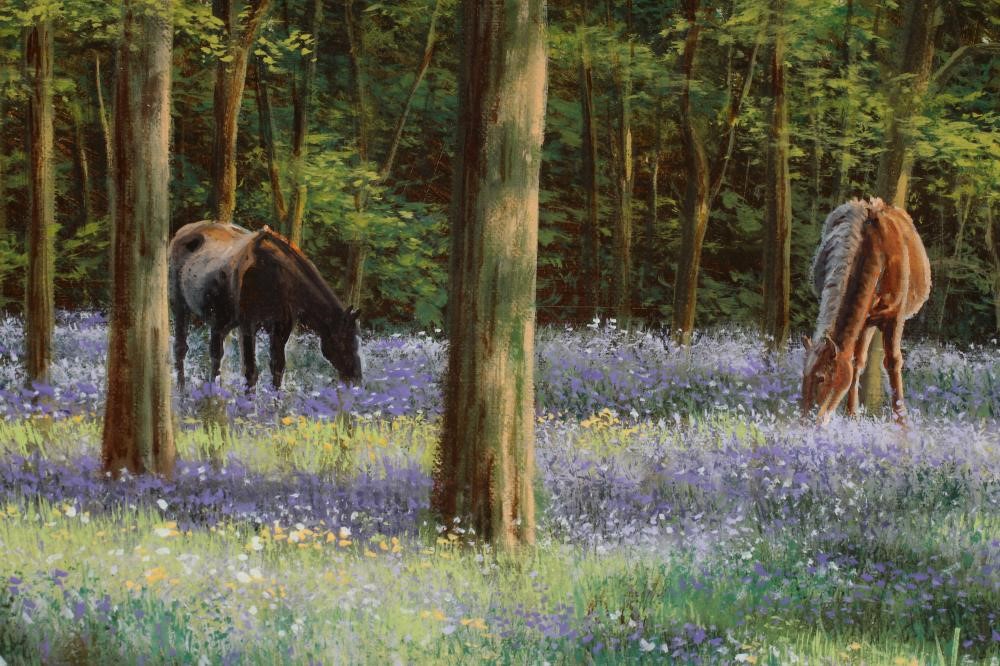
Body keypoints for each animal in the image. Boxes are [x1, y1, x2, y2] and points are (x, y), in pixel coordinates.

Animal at [169, 221, 364, 390]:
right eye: (344, 342)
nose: (356, 378)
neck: (277, 275)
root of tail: (183, 231)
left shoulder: (280, 328)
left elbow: (277, 368)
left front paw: (275, 405)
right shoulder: (248, 325)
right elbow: (250, 371)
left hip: (221, 321)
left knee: (216, 355)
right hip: (180, 307)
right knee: (181, 349)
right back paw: (182, 392)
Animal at [801, 198, 930, 424]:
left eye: (822, 378)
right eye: (803, 377)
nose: (804, 422)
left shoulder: (895, 317)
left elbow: (893, 361)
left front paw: (902, 422)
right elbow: (854, 361)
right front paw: (852, 414)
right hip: (866, 320)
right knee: (858, 360)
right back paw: (852, 413)